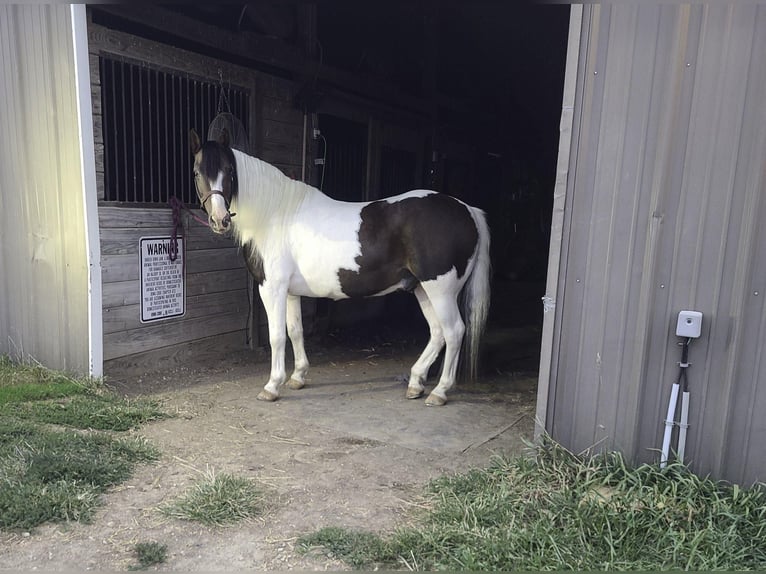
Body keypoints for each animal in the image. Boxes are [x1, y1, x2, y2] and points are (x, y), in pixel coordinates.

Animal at [190, 130, 496, 408]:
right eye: (196, 172)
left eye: (230, 171)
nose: (220, 220)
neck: (275, 215)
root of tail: (468, 210)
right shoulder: (290, 292)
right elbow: (295, 330)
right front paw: (298, 377)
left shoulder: (272, 288)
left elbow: (277, 336)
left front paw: (272, 386)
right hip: (422, 288)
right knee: (437, 332)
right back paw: (416, 382)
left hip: (440, 289)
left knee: (454, 331)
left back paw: (439, 392)